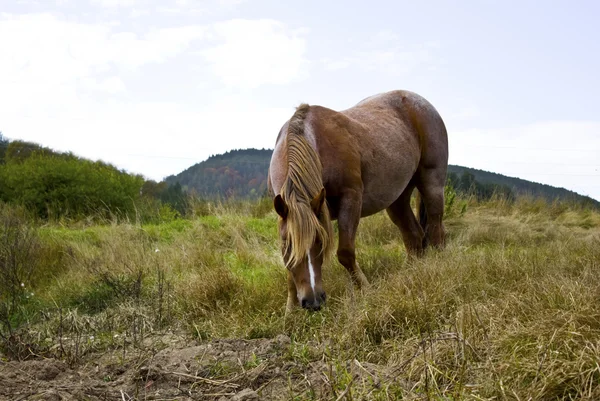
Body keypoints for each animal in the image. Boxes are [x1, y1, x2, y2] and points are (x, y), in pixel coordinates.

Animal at [270, 89, 448, 310]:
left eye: (321, 240)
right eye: (287, 244)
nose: (313, 301)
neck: (316, 143)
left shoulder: (351, 199)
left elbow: (345, 253)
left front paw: (367, 290)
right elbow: (289, 270)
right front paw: (290, 309)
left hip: (431, 183)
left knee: (436, 229)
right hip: (397, 200)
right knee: (414, 236)